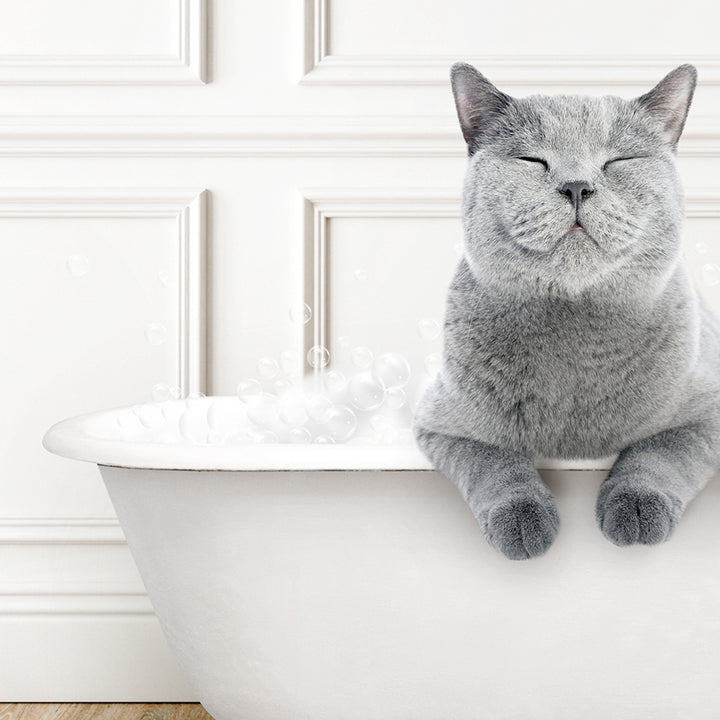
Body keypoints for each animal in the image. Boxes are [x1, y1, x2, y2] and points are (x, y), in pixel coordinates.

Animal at [410, 62, 720, 560]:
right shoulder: (443, 425)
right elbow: (494, 462)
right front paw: (523, 521)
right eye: (532, 160)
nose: (577, 186)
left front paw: (635, 509)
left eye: (618, 161)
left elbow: (660, 453)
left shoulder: (707, 412)